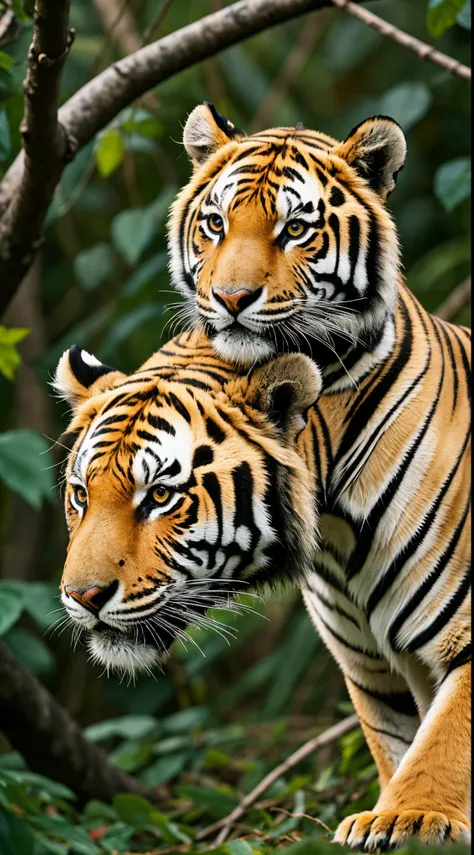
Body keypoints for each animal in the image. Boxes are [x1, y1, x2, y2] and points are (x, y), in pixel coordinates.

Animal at [164, 105, 470, 848]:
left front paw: (413, 816)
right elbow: (399, 744)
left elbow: (445, 739)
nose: (231, 297)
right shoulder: (370, 663)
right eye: (215, 224)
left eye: (295, 229)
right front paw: (392, 811)